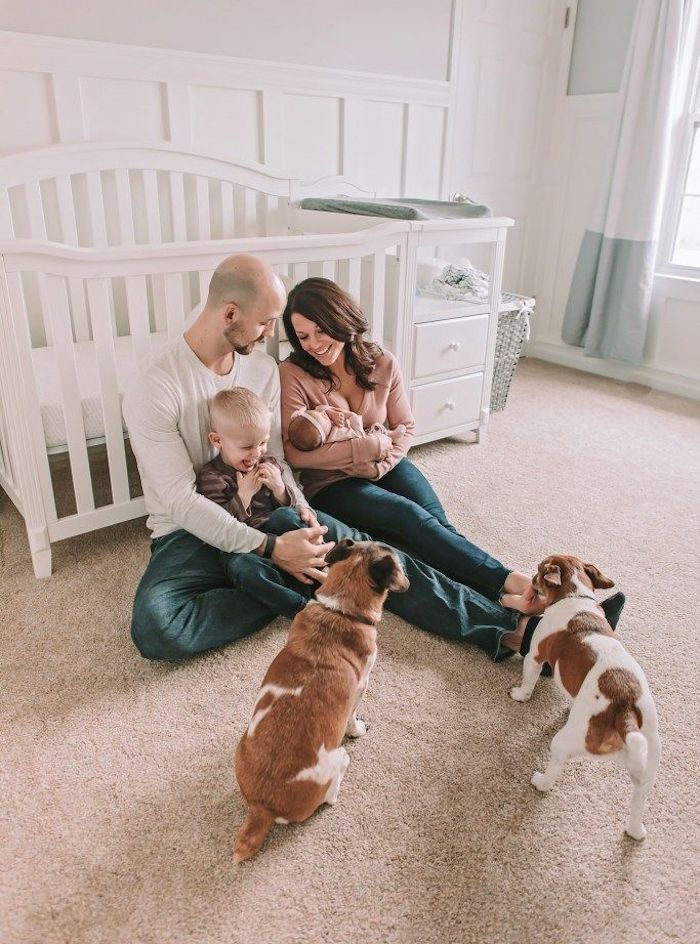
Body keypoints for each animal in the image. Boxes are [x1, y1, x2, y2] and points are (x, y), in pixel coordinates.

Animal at [232, 540, 408, 864]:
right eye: (400, 565)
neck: (340, 612)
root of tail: (263, 808)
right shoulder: (362, 685)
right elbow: (353, 718)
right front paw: (358, 730)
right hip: (338, 758)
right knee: (334, 793)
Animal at [512, 552, 660, 840]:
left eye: (539, 571)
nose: (532, 580)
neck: (575, 596)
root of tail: (625, 710)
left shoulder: (535, 655)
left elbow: (529, 680)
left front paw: (520, 694)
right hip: (647, 769)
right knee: (639, 800)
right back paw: (635, 831)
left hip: (564, 742)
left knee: (554, 768)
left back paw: (540, 781)